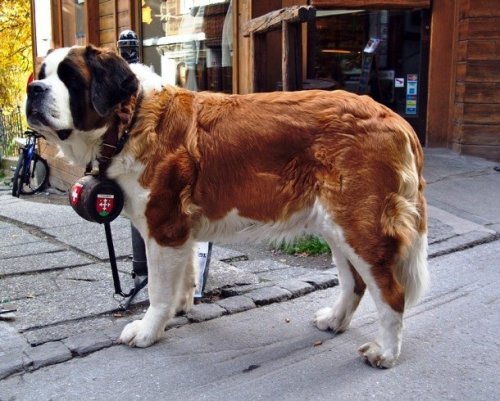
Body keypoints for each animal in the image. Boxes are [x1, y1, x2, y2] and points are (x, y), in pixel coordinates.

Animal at [26, 45, 430, 368]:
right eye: (42, 75)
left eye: (70, 78)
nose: (33, 89)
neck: (130, 119)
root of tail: (395, 118)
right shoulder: (179, 231)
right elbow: (185, 274)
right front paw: (181, 307)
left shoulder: (163, 227)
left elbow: (157, 290)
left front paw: (148, 330)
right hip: (337, 226)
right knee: (354, 282)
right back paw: (335, 319)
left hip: (358, 226)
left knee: (391, 292)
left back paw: (385, 353)